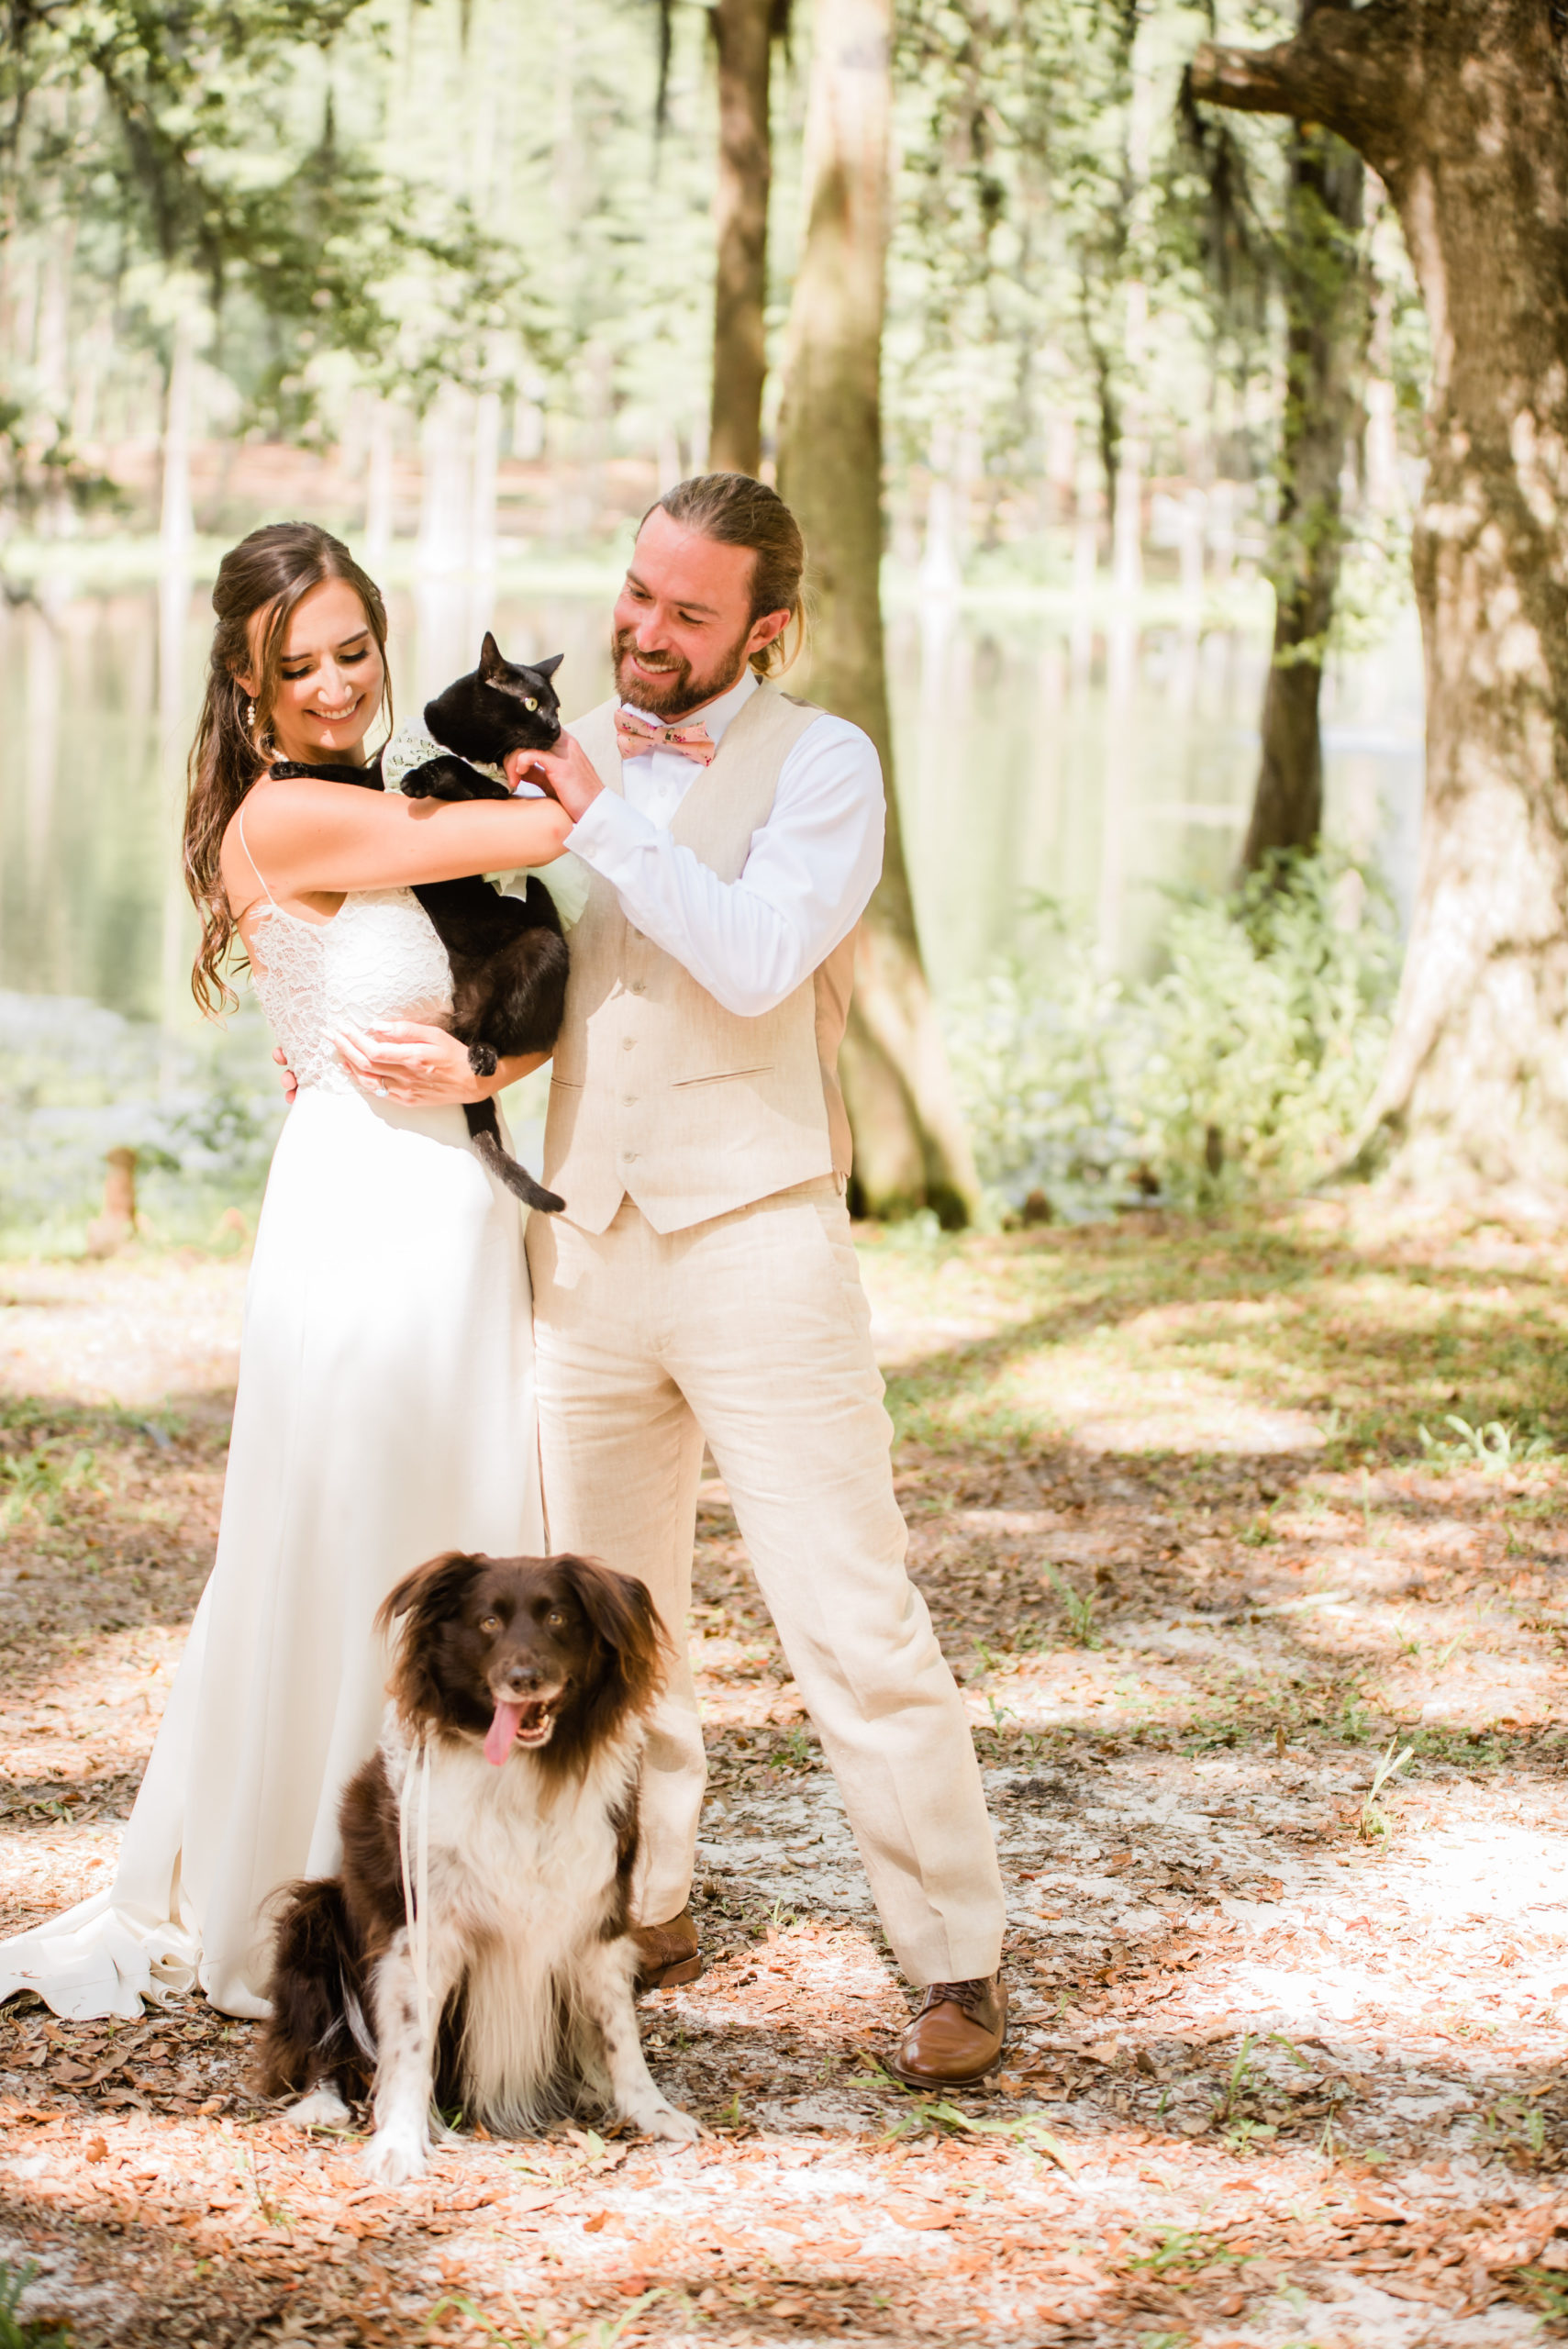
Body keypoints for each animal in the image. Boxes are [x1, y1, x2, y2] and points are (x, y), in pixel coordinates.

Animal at [258, 1559, 699, 2179]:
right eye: (488, 1621)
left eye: (558, 1617)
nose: (524, 1677)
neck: (524, 1772)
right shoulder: (421, 1930)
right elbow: (410, 2047)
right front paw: (398, 2143)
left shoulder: (598, 1917)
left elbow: (620, 2033)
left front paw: (653, 2113)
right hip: (313, 1916)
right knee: (323, 2042)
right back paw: (322, 2104)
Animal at [274, 634, 570, 1211]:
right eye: (531, 703)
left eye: (556, 705)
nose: (555, 728)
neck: (447, 737)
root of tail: (464, 1008)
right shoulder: (369, 784)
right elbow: (341, 773)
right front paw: (287, 770)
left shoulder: (498, 796)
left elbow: (462, 773)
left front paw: (422, 777)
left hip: (542, 947)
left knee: (505, 1039)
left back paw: (481, 1055)